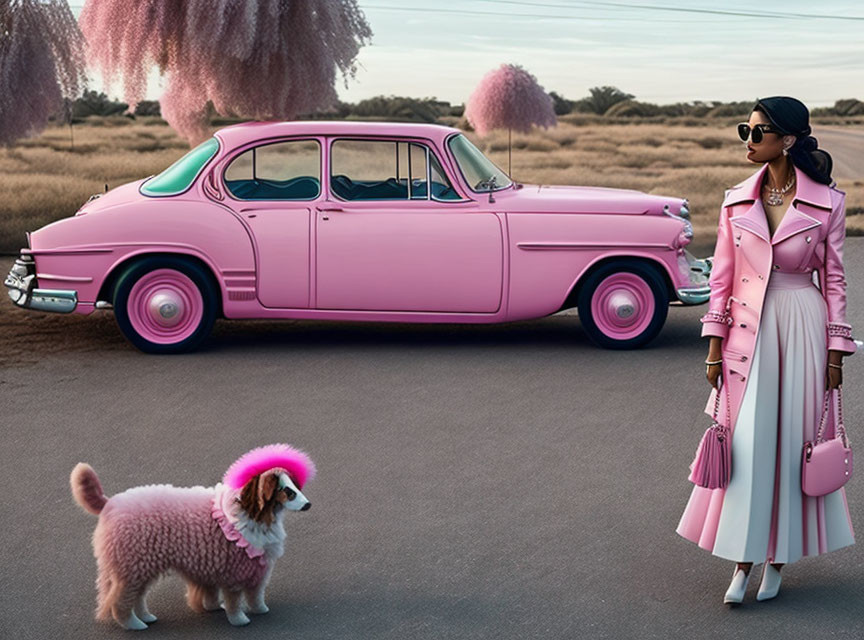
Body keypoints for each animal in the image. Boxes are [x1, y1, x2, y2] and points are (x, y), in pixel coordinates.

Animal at [70, 442, 314, 628]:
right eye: (287, 491)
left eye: (295, 486)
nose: (308, 504)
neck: (247, 509)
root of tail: (109, 503)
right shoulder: (235, 568)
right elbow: (236, 598)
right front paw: (239, 619)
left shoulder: (230, 565)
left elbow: (252, 593)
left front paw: (253, 609)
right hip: (130, 567)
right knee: (121, 601)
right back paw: (133, 624)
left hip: (140, 567)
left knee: (137, 596)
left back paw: (146, 617)